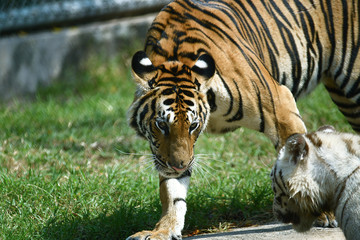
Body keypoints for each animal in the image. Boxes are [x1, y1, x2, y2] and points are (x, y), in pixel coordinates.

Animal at [126, 0, 360, 239]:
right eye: (161, 125)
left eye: (193, 125)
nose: (178, 166)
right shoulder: (165, 154)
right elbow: (172, 191)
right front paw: (162, 230)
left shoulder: (280, 105)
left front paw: (322, 213)